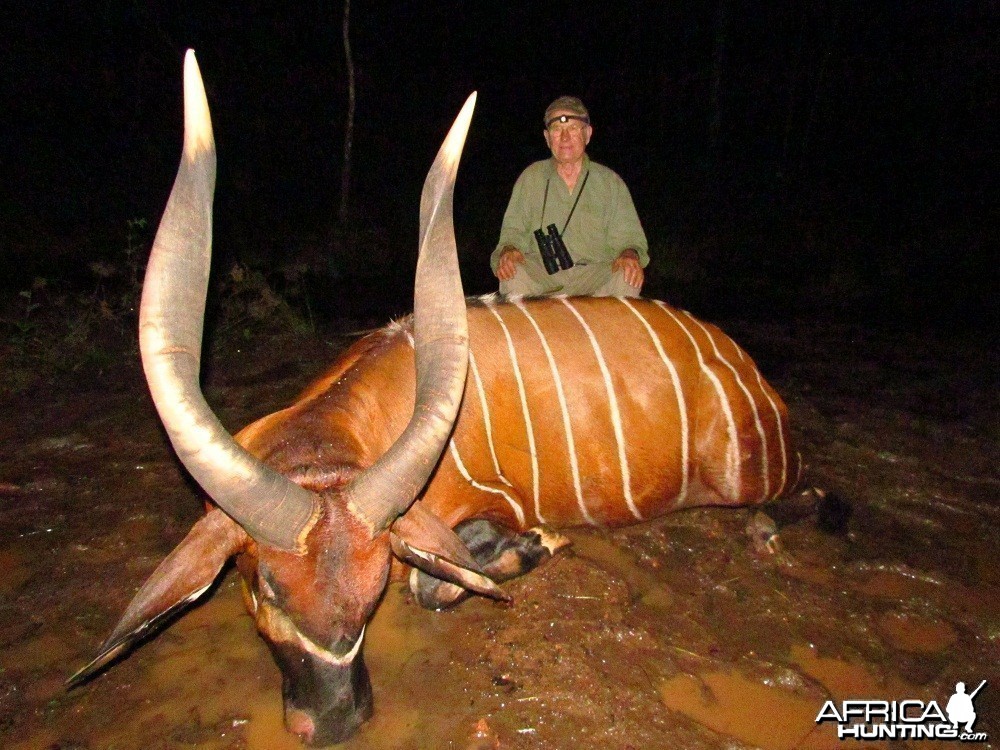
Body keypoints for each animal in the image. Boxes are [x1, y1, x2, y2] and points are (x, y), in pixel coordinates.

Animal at [68, 51, 804, 748]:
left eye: (371, 597)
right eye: (265, 589)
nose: (333, 723)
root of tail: (755, 376)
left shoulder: (481, 512)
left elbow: (439, 579)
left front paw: (540, 543)